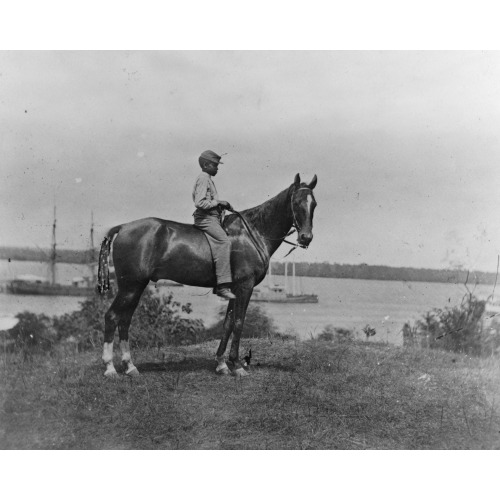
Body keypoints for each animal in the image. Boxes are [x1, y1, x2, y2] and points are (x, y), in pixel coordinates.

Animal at [95, 174, 318, 376]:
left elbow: (227, 324)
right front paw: (237, 365)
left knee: (125, 320)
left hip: (135, 287)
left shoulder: (233, 289)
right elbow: (239, 322)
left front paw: (221, 364)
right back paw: (110, 367)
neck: (252, 234)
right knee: (112, 316)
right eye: (296, 202)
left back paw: (130, 366)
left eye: (313, 204)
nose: (306, 237)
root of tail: (123, 227)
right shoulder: (245, 287)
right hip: (130, 286)